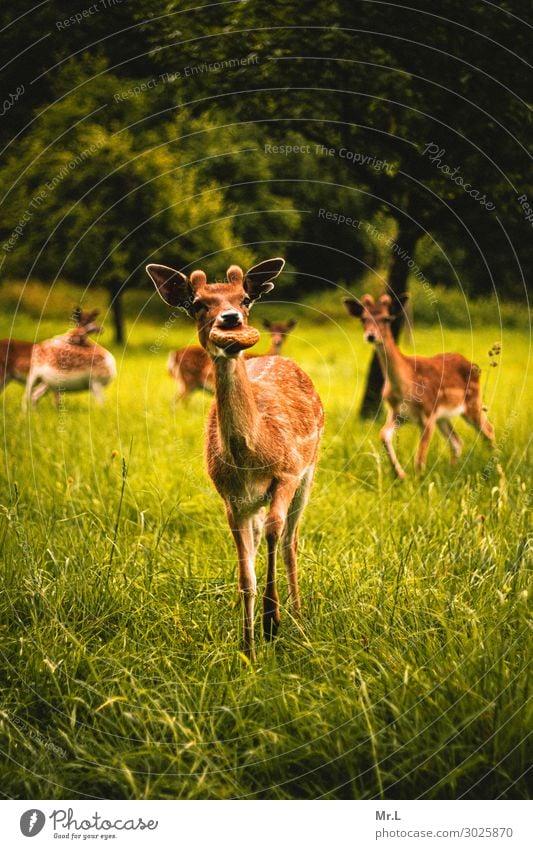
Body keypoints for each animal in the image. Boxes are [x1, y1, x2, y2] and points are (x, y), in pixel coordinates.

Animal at [342, 294, 492, 476]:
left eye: (386, 318)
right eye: (363, 319)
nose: (371, 336)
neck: (405, 388)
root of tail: (475, 366)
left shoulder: (428, 414)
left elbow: (419, 459)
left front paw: (418, 479)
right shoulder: (397, 413)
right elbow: (383, 434)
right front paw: (400, 475)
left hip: (472, 402)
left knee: (488, 431)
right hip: (443, 416)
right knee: (457, 442)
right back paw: (453, 470)